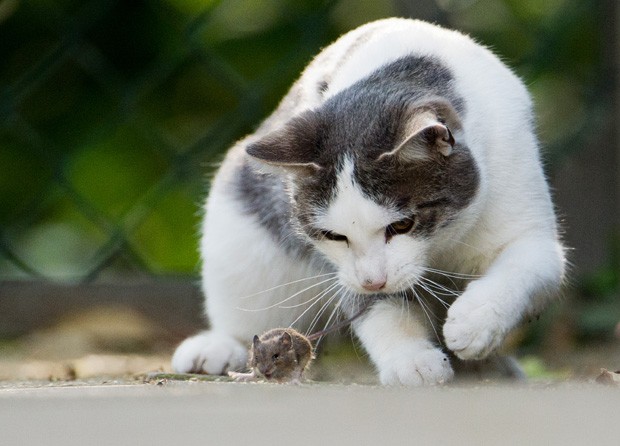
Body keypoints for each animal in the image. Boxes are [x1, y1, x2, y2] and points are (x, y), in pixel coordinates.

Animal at [171, 19, 568, 386]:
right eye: (333, 236)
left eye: (403, 224)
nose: (374, 280)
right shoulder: (344, 270)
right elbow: (376, 309)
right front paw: (411, 360)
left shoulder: (531, 226)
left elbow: (524, 267)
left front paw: (476, 321)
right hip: (236, 227)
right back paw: (217, 347)